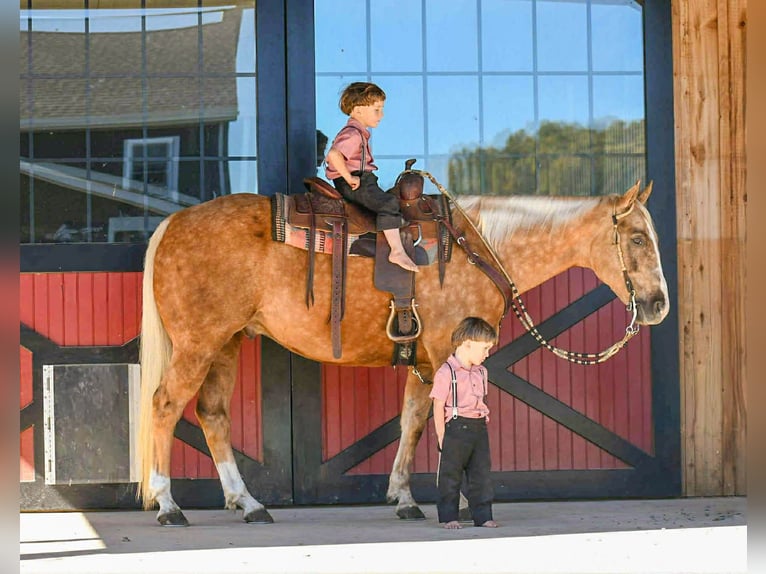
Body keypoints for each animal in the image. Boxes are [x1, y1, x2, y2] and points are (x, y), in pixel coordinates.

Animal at [136, 179, 669, 526]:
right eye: (637, 238)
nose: (659, 304)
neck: (480, 247)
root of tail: (173, 222)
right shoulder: (447, 350)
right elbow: (444, 419)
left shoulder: (425, 358)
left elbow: (412, 420)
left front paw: (404, 497)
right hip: (198, 343)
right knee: (165, 406)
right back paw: (168, 505)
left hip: (226, 342)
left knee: (212, 414)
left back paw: (247, 503)